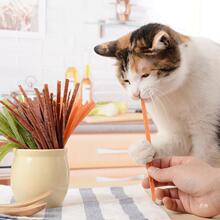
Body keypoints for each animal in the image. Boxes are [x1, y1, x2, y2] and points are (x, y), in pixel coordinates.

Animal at [95, 22, 220, 167]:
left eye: (145, 75)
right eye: (126, 81)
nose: (135, 94)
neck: (177, 90)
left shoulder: (209, 132)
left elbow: (203, 159)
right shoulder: (175, 133)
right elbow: (177, 140)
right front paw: (142, 150)